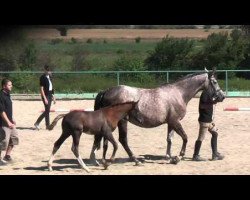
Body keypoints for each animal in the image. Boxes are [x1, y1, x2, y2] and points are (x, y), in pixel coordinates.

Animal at [89, 69, 225, 166]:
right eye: (214, 82)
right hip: (122, 121)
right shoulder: (175, 122)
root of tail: (106, 91)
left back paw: (100, 160)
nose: (222, 96)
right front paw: (178, 157)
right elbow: (185, 138)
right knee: (123, 140)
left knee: (103, 140)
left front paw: (169, 157)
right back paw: (135, 160)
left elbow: (169, 139)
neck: (179, 93)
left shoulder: (170, 123)